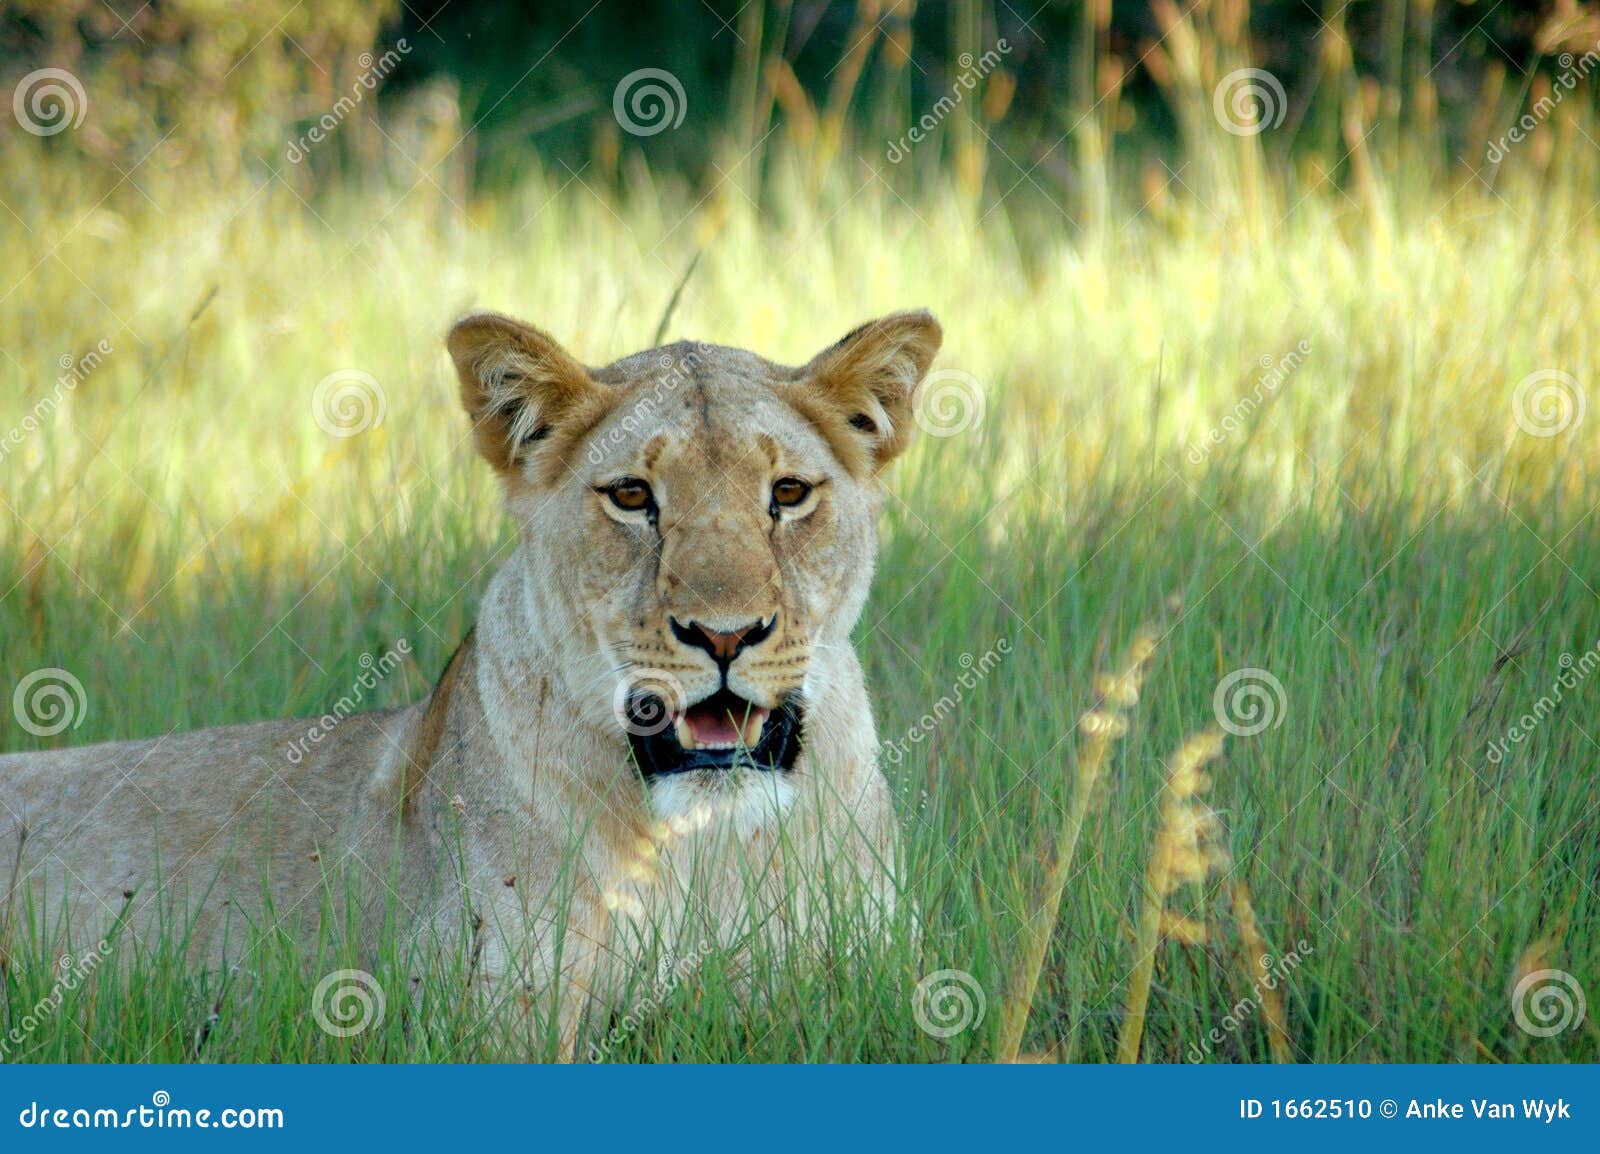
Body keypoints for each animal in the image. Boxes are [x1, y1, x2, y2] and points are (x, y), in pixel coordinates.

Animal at [0, 308, 943, 1056]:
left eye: (788, 492)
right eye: (632, 496)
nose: (725, 634)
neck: (706, 845)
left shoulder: (886, 983)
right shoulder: (489, 1013)